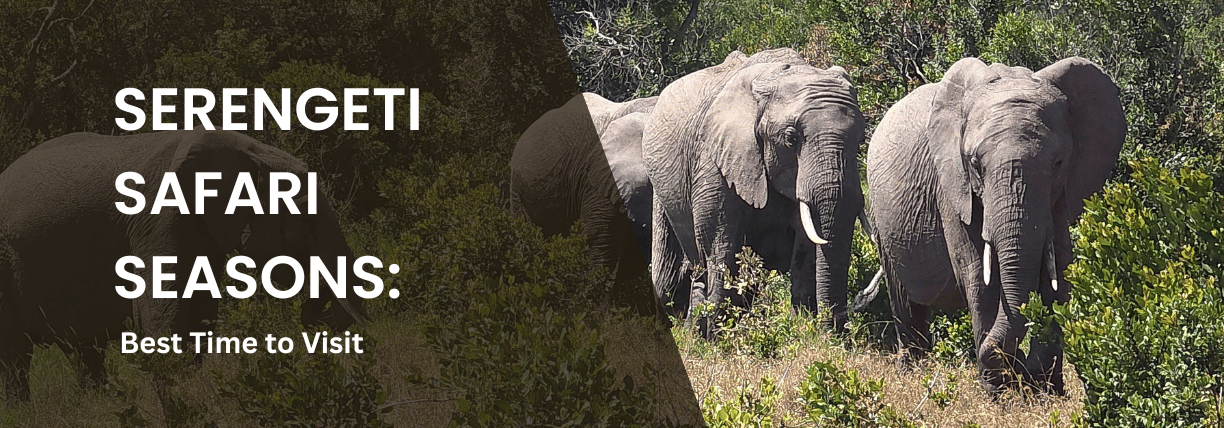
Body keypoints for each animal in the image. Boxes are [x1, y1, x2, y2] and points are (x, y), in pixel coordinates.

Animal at [0, 130, 373, 401]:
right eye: (305, 225)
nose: (315, 309)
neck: (245, 149)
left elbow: (200, 315)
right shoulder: (158, 221)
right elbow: (161, 315)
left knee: (85, 350)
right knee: (15, 356)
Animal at [643, 48, 866, 337]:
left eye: (861, 140)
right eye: (791, 139)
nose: (835, 333)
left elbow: (805, 249)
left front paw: (804, 329)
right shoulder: (715, 161)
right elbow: (721, 244)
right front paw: (717, 337)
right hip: (660, 187)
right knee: (671, 274)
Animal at [865, 57, 1125, 395]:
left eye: (1057, 164)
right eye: (976, 165)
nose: (1020, 365)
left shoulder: (1060, 197)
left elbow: (1058, 273)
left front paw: (1046, 390)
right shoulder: (953, 187)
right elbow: (979, 276)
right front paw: (999, 392)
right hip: (882, 220)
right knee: (905, 301)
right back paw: (913, 370)